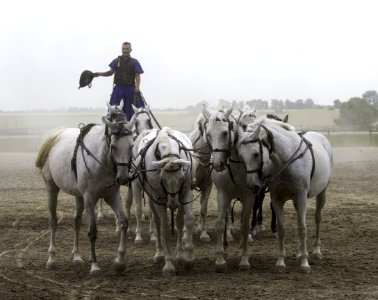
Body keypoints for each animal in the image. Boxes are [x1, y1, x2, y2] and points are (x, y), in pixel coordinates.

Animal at [35, 104, 136, 276]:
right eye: (113, 146)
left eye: (131, 146)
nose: (122, 178)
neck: (102, 158)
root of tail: (56, 135)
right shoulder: (90, 197)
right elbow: (93, 231)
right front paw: (94, 265)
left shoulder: (111, 196)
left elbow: (123, 221)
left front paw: (120, 261)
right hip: (52, 189)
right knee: (53, 222)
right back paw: (51, 259)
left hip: (78, 195)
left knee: (76, 221)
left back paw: (76, 257)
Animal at [131, 126, 195, 276]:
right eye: (163, 179)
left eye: (181, 178)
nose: (173, 203)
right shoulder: (158, 198)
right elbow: (165, 228)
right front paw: (169, 264)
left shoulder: (185, 193)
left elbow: (187, 220)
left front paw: (186, 257)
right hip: (151, 197)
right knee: (158, 222)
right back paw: (159, 253)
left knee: (179, 222)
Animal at [201, 105, 256, 272]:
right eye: (208, 134)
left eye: (225, 133)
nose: (217, 164)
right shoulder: (222, 194)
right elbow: (220, 224)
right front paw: (220, 259)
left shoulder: (249, 196)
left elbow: (245, 226)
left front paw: (244, 259)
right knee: (226, 217)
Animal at [238, 118, 332, 274]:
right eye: (241, 156)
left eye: (256, 154)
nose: (252, 185)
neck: (286, 161)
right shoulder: (277, 199)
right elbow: (282, 229)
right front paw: (281, 262)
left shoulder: (301, 197)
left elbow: (302, 228)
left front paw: (305, 264)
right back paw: (300, 253)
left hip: (322, 192)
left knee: (318, 218)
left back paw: (316, 251)